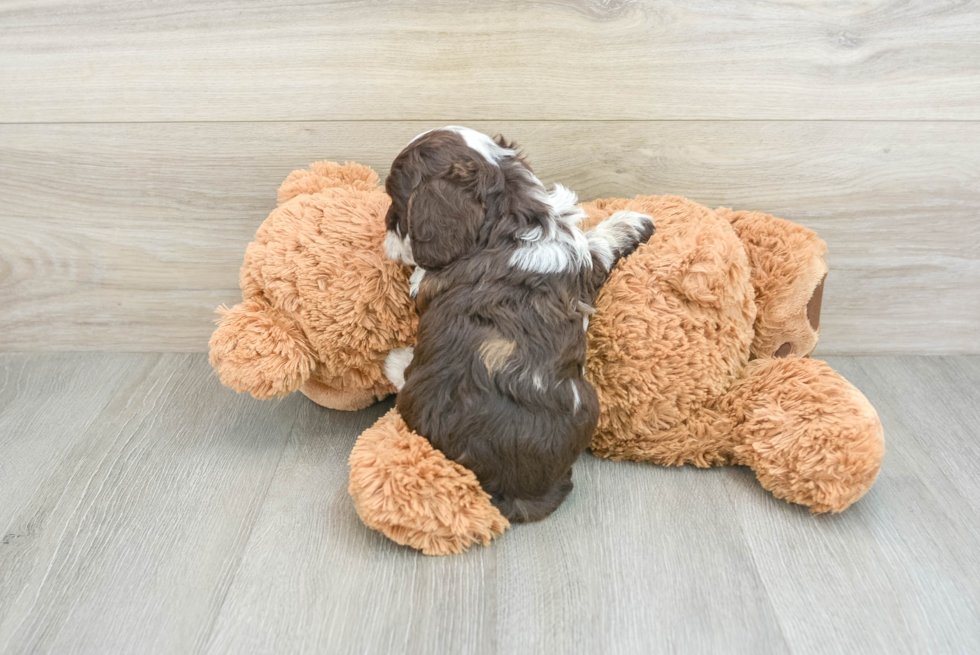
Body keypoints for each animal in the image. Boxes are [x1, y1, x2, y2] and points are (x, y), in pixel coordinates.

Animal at [380, 127, 652, 524]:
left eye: (396, 207)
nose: (384, 232)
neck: (512, 218)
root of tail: (513, 489)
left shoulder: (427, 285)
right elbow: (596, 245)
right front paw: (631, 222)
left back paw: (394, 361)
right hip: (589, 403)